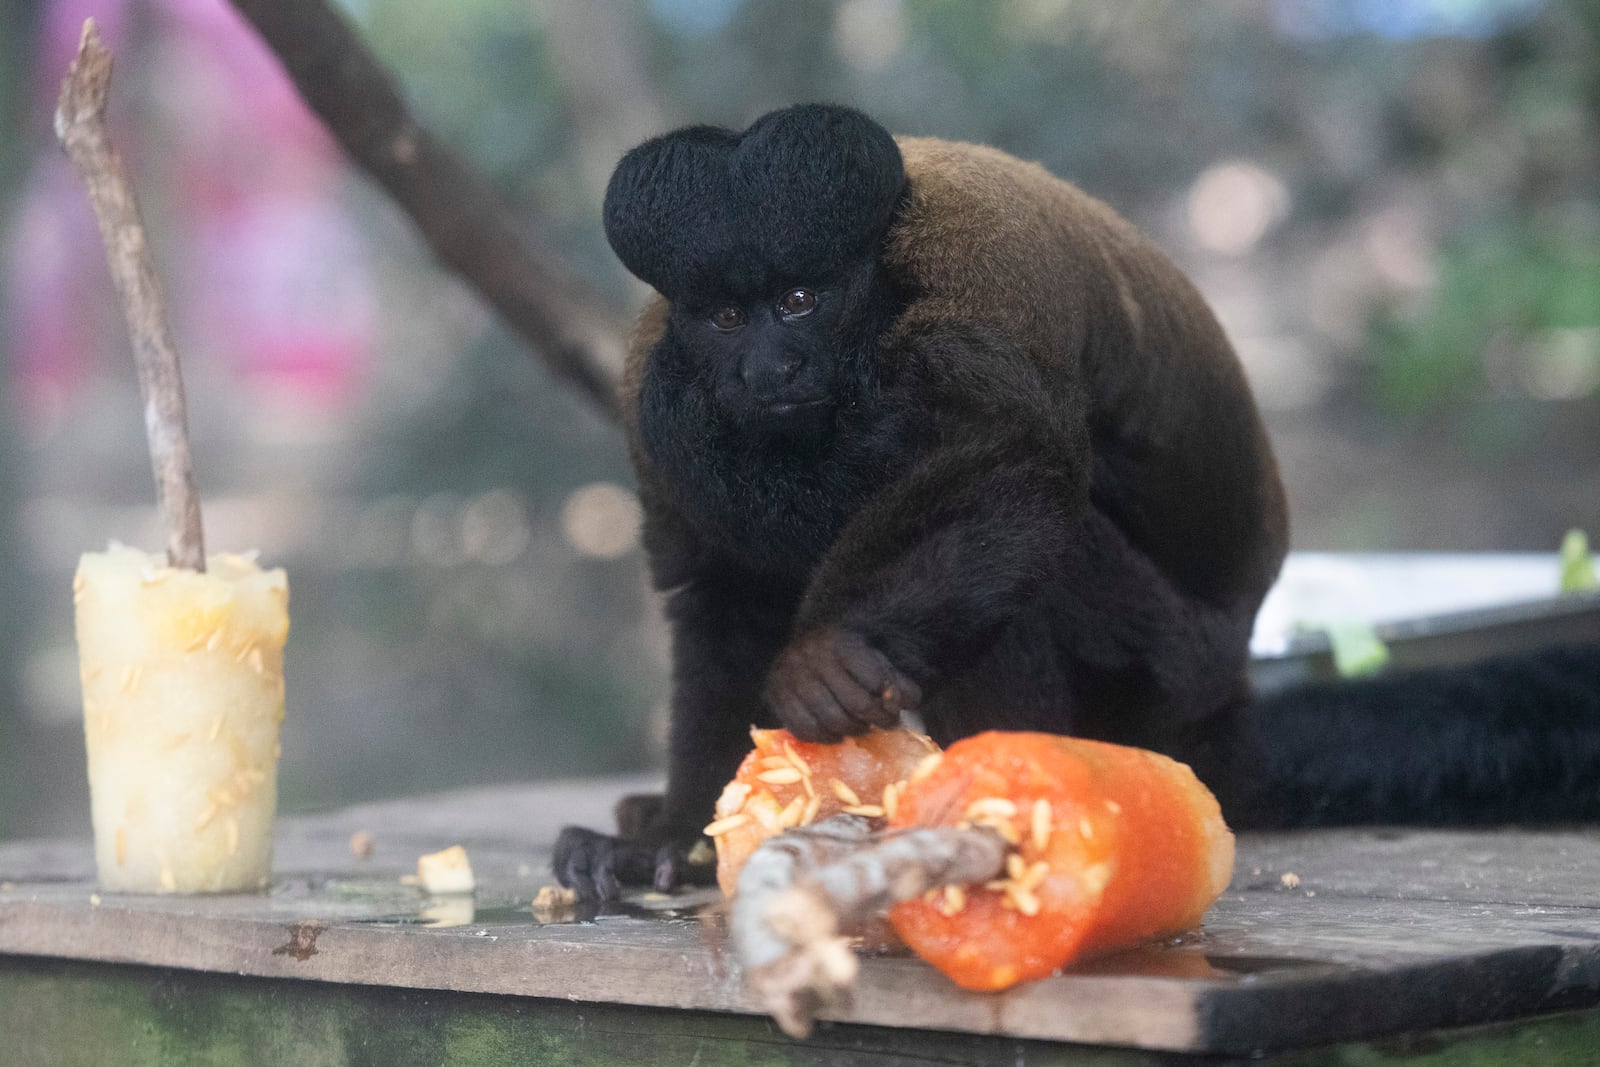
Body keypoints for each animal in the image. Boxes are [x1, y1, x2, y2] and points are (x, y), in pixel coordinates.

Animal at [553, 103, 1600, 895]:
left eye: (802, 301)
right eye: (729, 317)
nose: (770, 367)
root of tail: (1225, 696)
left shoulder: (972, 305)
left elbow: (1012, 470)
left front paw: (824, 658)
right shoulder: (654, 405)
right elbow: (718, 596)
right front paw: (671, 834)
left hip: (1168, 670)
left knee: (1033, 563)